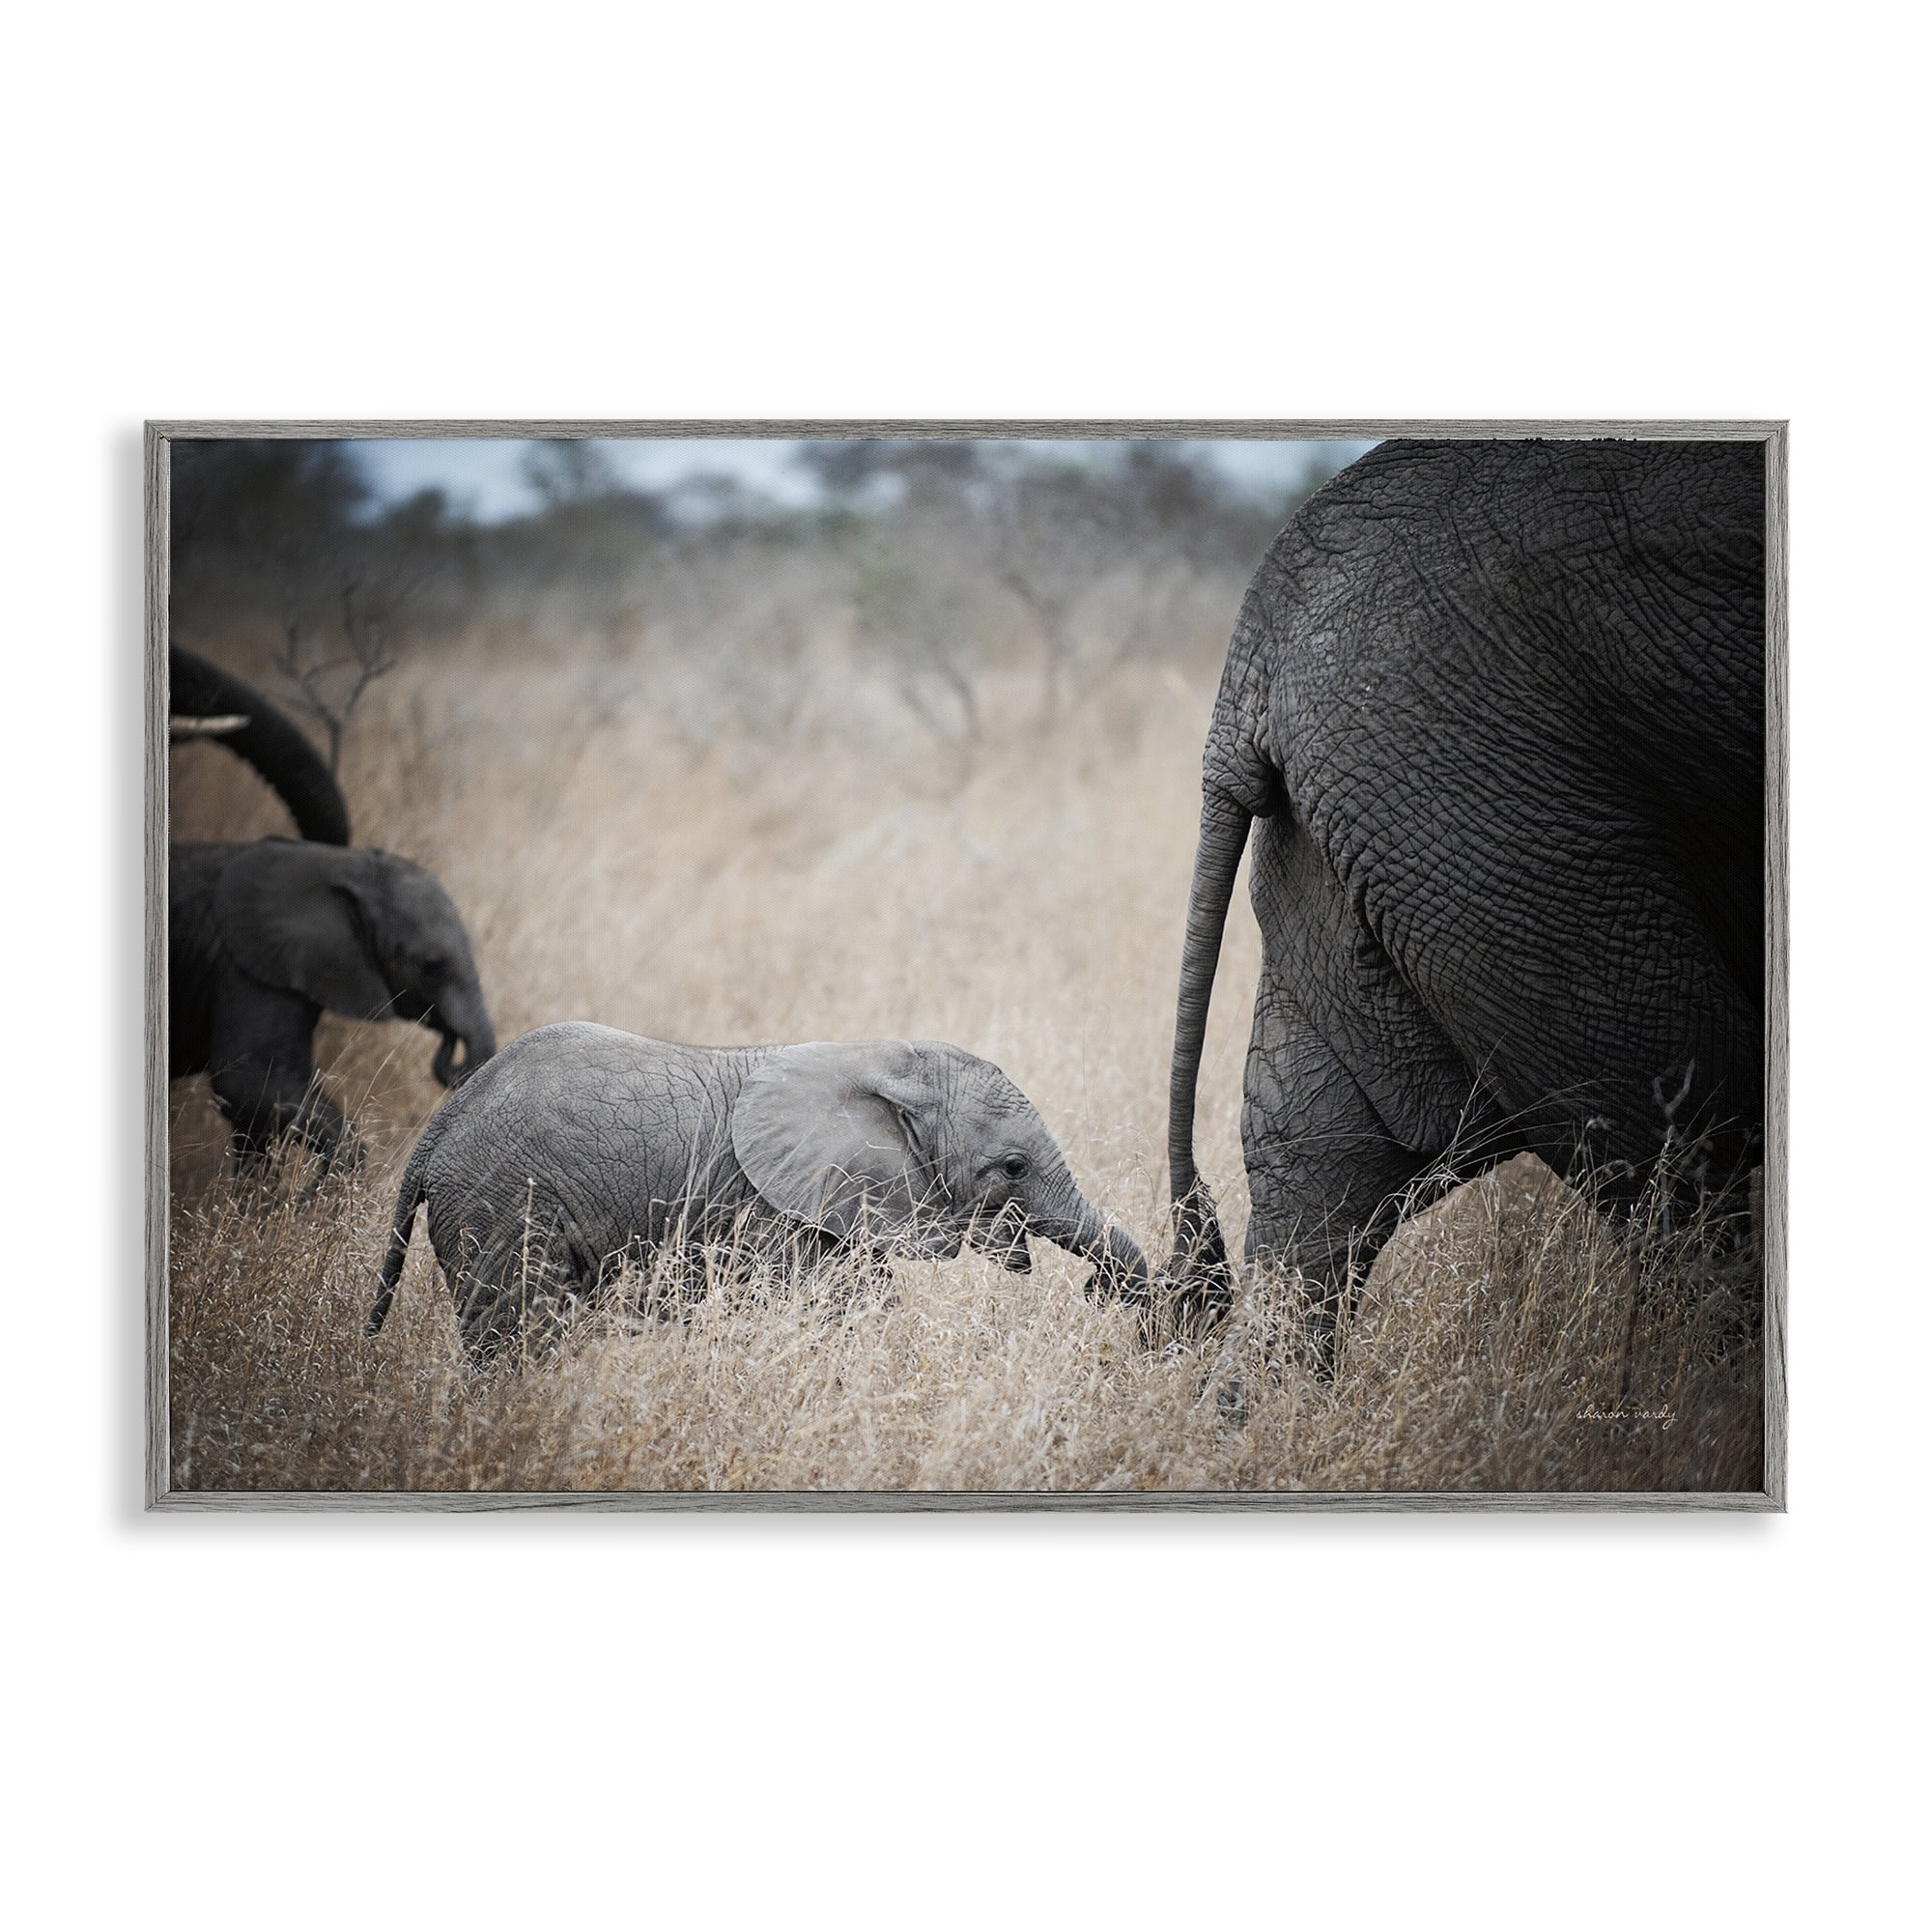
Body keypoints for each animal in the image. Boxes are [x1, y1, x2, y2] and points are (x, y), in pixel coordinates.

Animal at [168, 649, 497, 1164]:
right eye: (430, 966)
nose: (448, 1037)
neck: (342, 875)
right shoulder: (248, 971)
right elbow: (252, 1087)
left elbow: (252, 1113)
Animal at [367, 1022, 1150, 1362]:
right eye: (1013, 1167)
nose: (1101, 1294)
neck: (880, 1059)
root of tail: (439, 1128)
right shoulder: (772, 1212)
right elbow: (835, 1314)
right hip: (501, 1202)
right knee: (518, 1332)